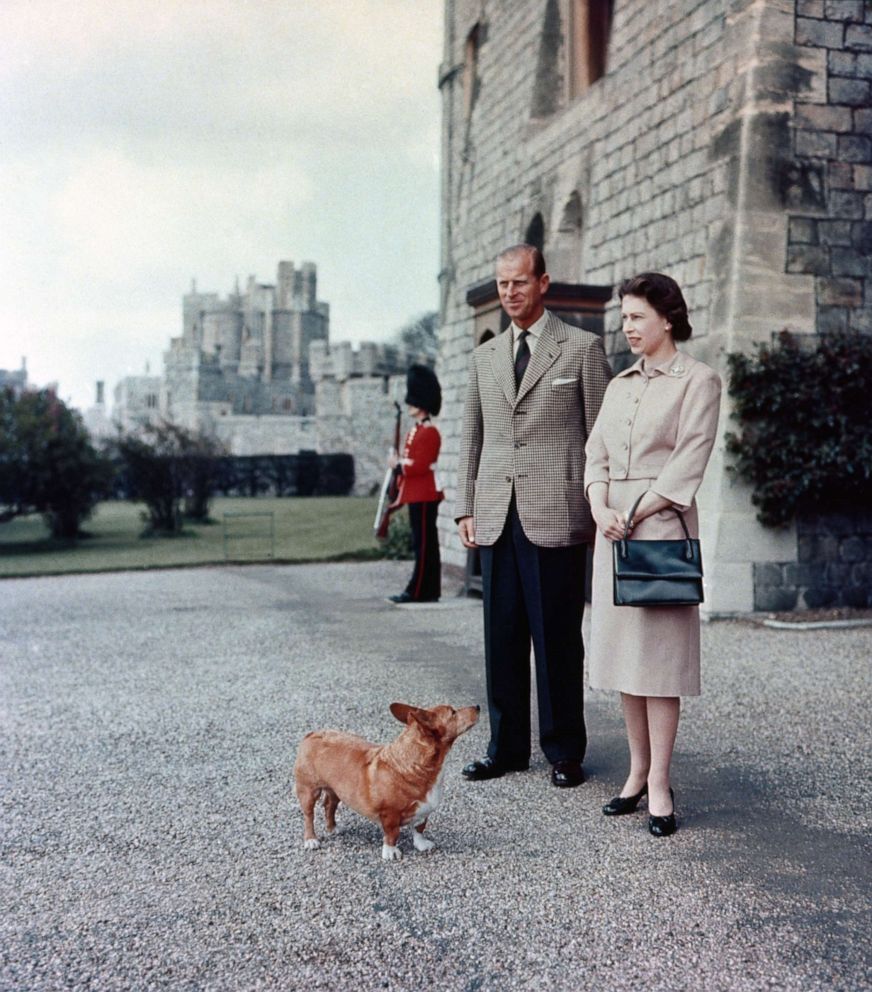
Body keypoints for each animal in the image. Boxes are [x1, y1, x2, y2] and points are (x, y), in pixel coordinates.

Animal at [296, 700, 480, 856]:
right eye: (453, 712)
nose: (478, 706)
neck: (416, 765)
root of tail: (312, 734)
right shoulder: (390, 814)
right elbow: (392, 834)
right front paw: (390, 852)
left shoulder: (423, 812)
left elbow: (419, 829)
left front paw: (421, 844)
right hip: (308, 791)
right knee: (308, 815)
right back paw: (311, 840)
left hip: (336, 790)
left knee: (329, 805)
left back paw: (333, 828)